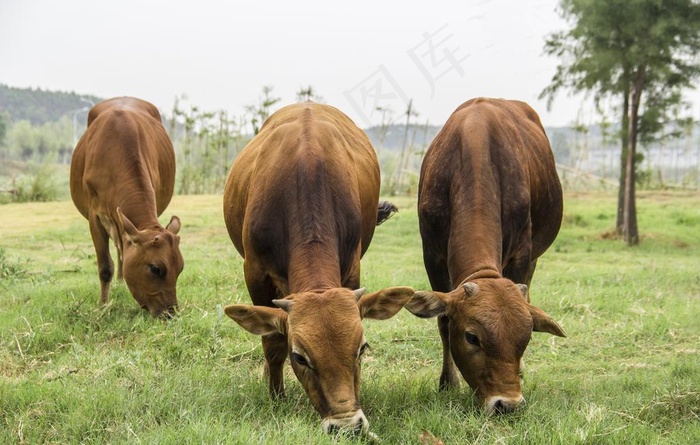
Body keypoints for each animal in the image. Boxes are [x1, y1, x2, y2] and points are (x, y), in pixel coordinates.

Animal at [70, 96, 183, 318]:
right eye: (155, 268)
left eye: (180, 268)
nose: (170, 313)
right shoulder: (95, 216)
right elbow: (105, 268)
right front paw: (103, 306)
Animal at [221, 100, 412, 434]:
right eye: (300, 358)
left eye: (362, 348)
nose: (347, 425)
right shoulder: (255, 272)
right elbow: (272, 343)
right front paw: (276, 397)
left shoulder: (351, 269)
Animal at [408, 97, 568, 412]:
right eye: (472, 337)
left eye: (526, 337)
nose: (508, 404)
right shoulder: (432, 255)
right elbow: (443, 321)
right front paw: (448, 383)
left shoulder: (521, 255)